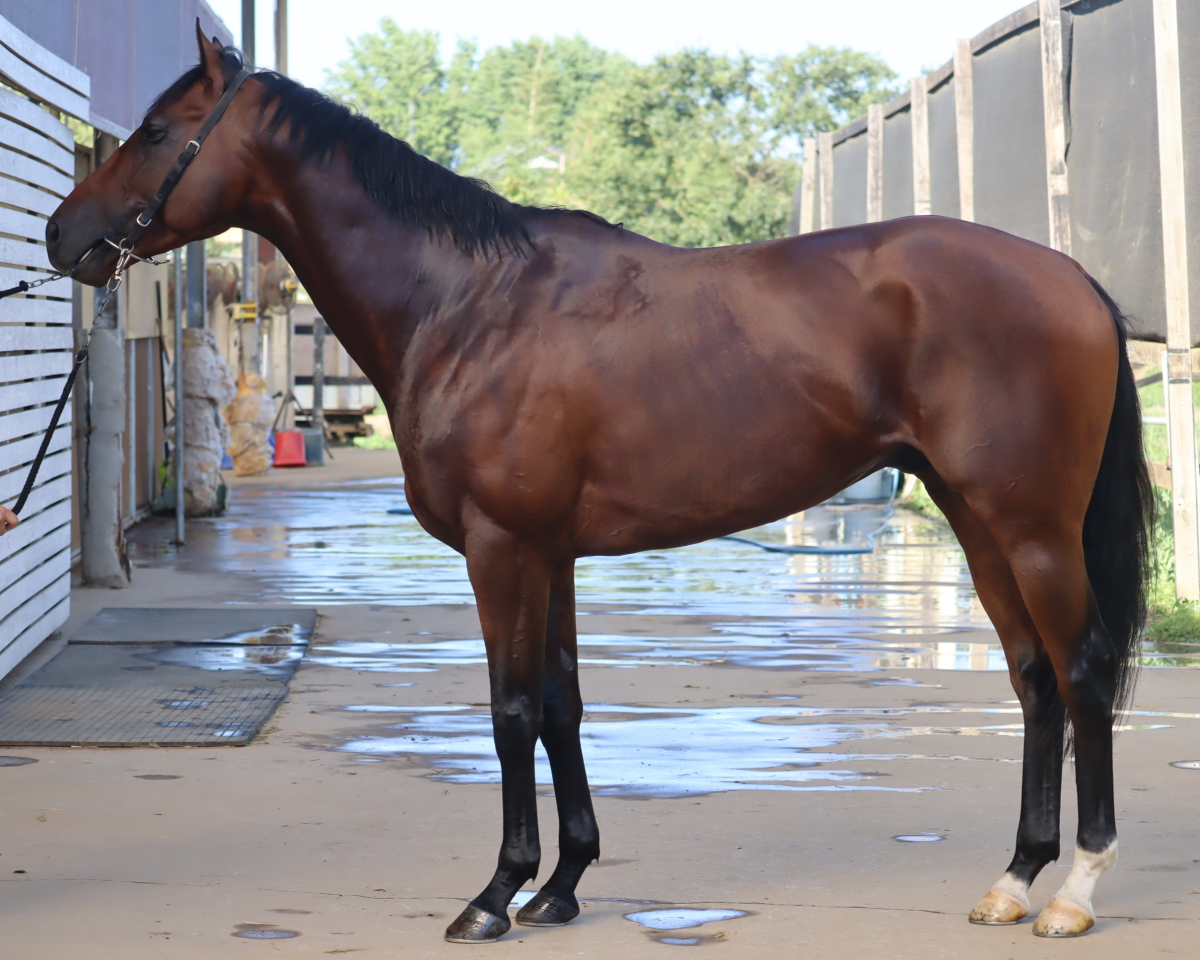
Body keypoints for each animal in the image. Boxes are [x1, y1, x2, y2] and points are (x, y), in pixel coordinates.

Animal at [46, 26, 1152, 943]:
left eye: (156, 131)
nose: (60, 238)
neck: (467, 304)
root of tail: (1072, 279)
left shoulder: (502, 548)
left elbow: (509, 712)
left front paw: (496, 895)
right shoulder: (555, 553)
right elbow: (563, 704)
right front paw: (563, 885)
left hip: (1031, 525)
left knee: (1084, 669)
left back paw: (1076, 892)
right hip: (977, 517)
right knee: (1034, 678)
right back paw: (1013, 881)